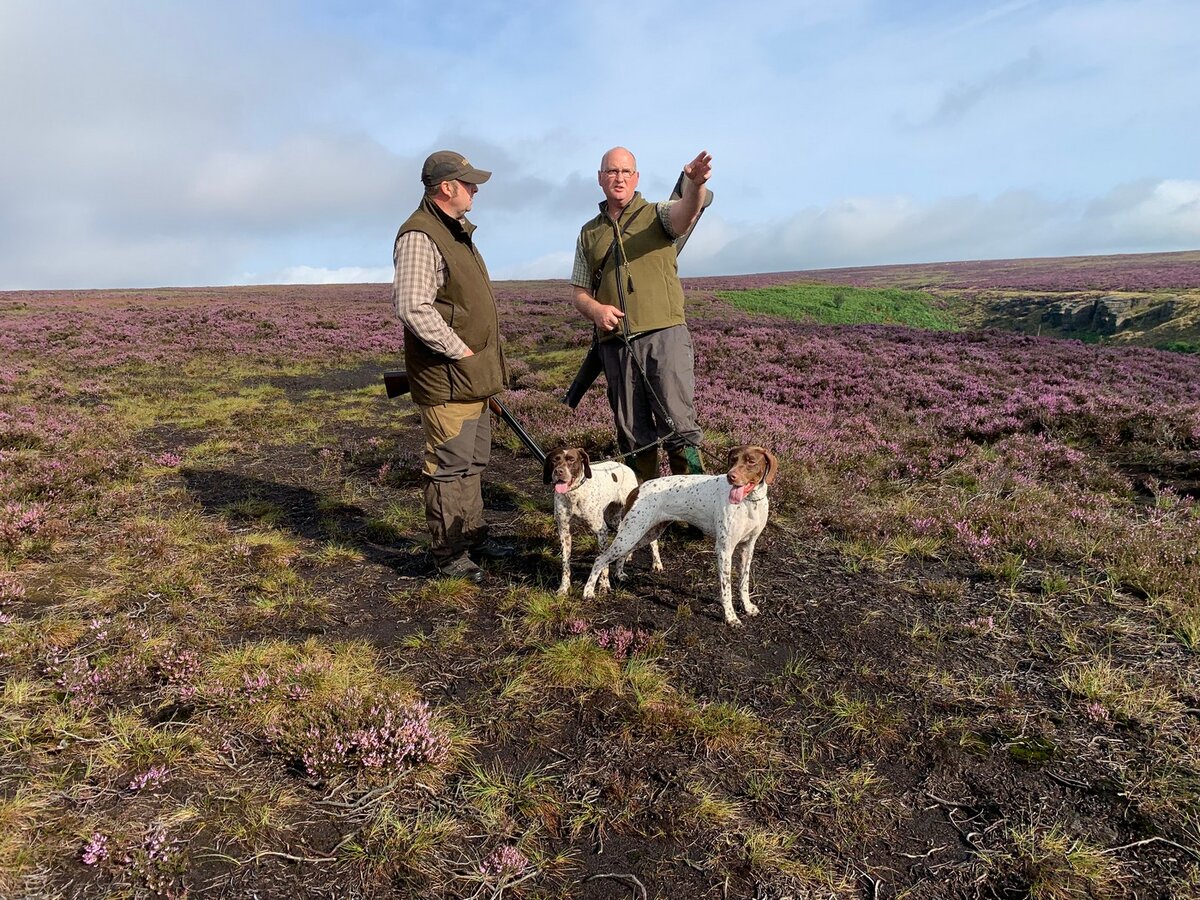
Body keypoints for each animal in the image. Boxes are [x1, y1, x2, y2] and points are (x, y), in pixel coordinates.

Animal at [544, 448, 667, 600]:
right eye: (554, 460)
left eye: (571, 460)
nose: (559, 472)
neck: (574, 495)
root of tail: (628, 469)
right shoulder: (564, 532)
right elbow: (565, 564)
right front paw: (563, 588)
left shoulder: (601, 531)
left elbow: (603, 564)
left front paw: (604, 586)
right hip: (615, 521)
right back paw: (623, 563)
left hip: (638, 518)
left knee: (652, 541)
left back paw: (656, 563)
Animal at [583, 444, 777, 628]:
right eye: (733, 460)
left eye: (751, 461)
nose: (731, 477)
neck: (749, 502)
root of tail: (637, 488)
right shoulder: (724, 549)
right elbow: (726, 588)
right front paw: (730, 617)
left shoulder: (748, 547)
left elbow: (744, 583)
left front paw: (747, 607)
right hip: (631, 533)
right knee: (600, 559)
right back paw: (589, 591)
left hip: (644, 534)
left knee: (622, 554)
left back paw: (620, 574)